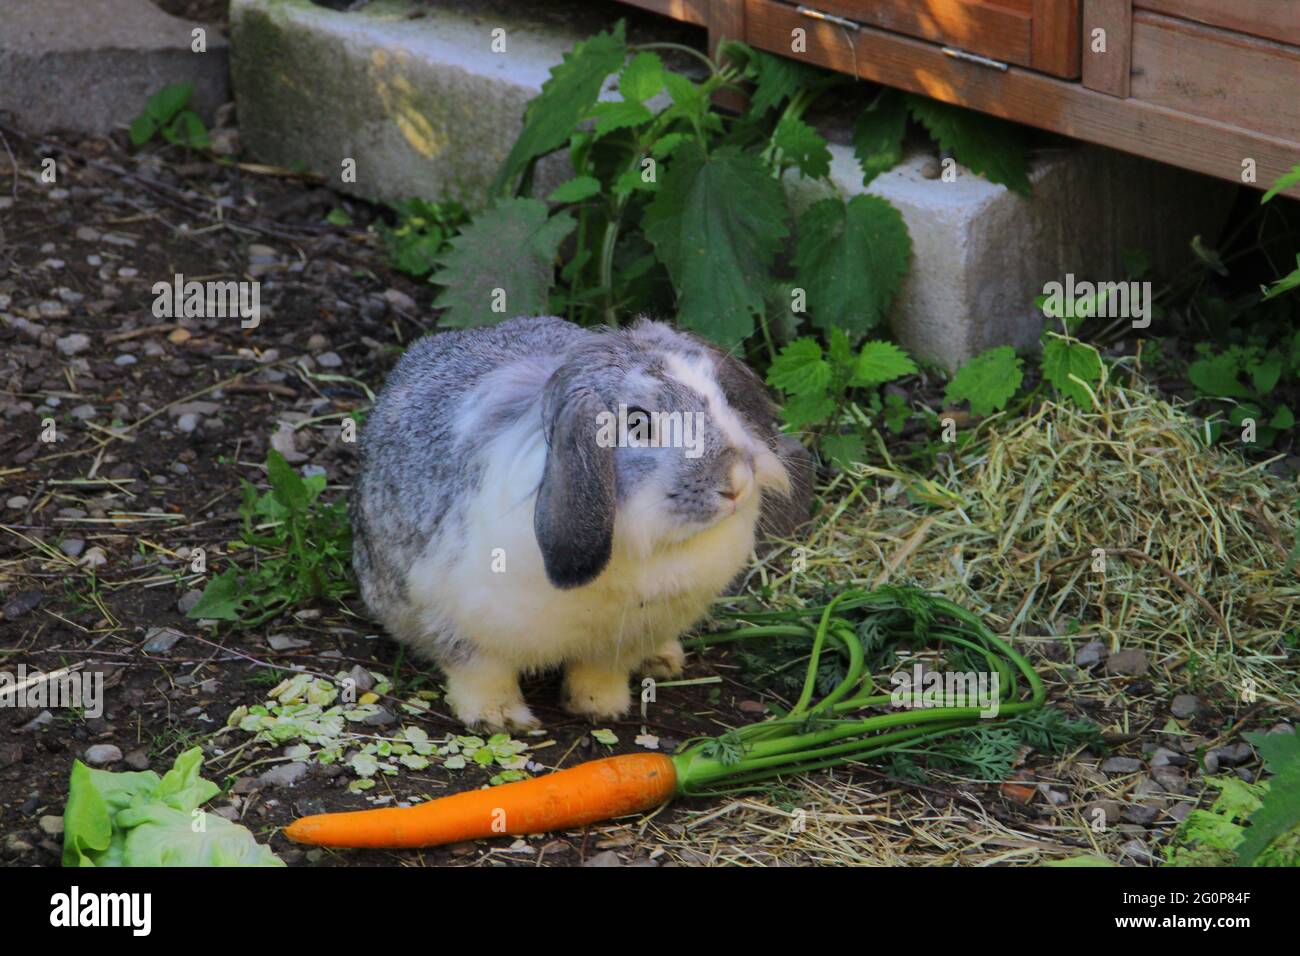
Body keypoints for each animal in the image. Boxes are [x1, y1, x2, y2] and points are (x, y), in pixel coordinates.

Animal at [351, 315, 797, 732]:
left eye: (720, 397)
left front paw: (602, 708)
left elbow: (600, 673)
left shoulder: (621, 640)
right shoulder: (466, 627)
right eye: (638, 425)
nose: (736, 483)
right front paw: (500, 718)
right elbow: (481, 674)